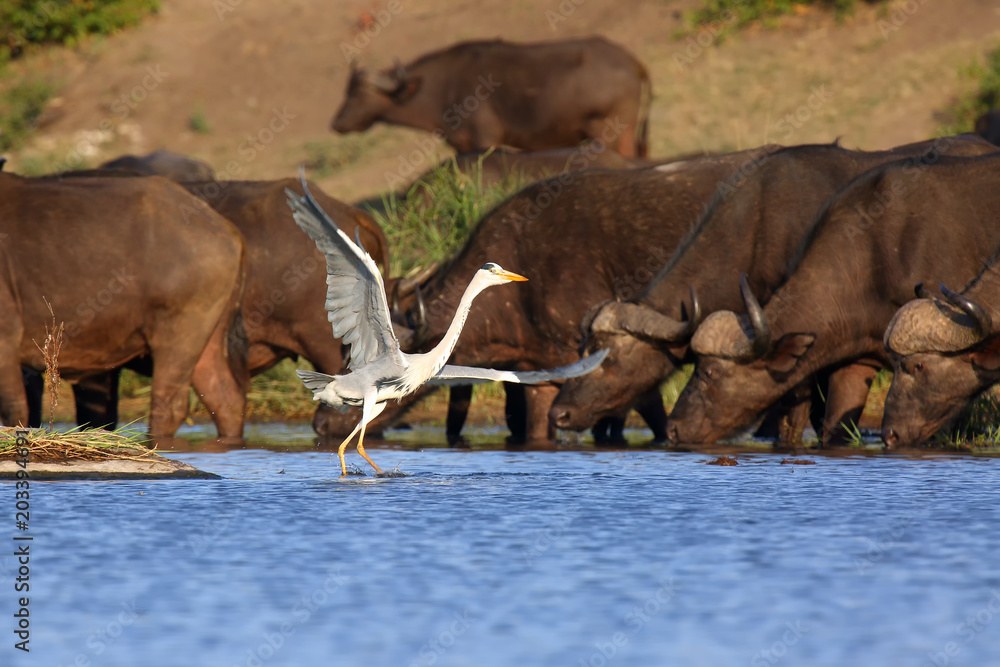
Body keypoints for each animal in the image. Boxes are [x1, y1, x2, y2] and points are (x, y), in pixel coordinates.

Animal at [332, 37, 651, 157]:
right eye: (346, 91)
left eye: (356, 94)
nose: (337, 123)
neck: (439, 89)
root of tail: (630, 61)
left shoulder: (486, 140)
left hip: (606, 132)